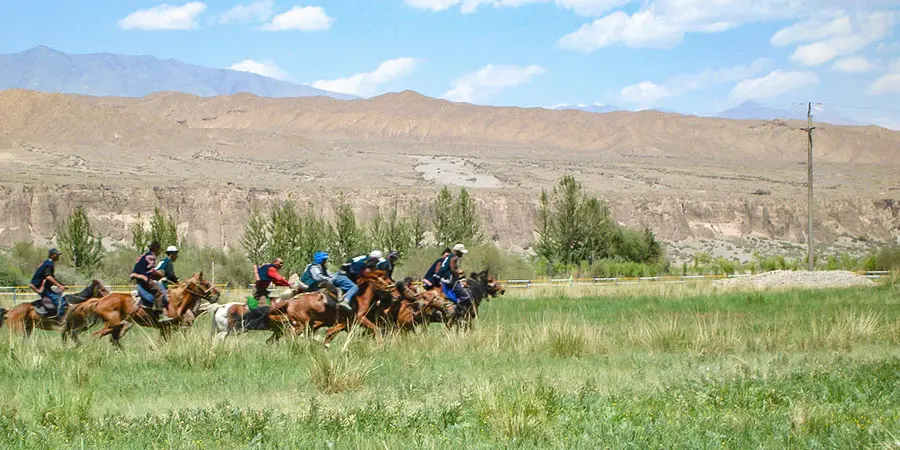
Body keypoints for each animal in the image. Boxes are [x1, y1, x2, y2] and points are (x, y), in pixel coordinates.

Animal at [62, 270, 218, 348]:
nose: (217, 294)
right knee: (97, 335)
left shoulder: (167, 328)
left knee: (112, 339)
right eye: (205, 283)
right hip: (113, 324)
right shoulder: (168, 327)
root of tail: (100, 300)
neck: (175, 301)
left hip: (117, 326)